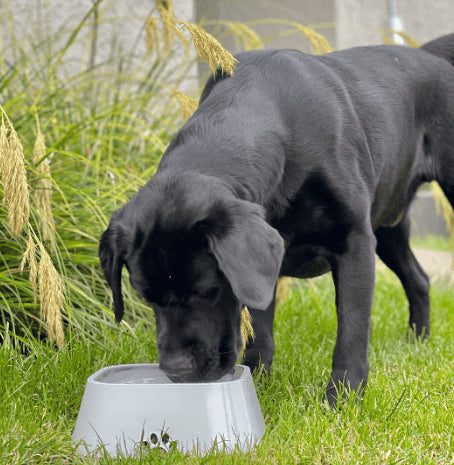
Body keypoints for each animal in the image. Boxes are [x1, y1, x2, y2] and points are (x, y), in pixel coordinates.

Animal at [100, 34, 454, 404]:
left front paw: (343, 397)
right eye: (145, 297)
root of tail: (427, 55)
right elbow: (260, 329)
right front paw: (258, 380)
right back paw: (417, 342)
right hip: (387, 226)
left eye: (209, 291)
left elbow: (352, 328)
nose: (177, 371)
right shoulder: (261, 268)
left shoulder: (354, 240)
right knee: (419, 279)